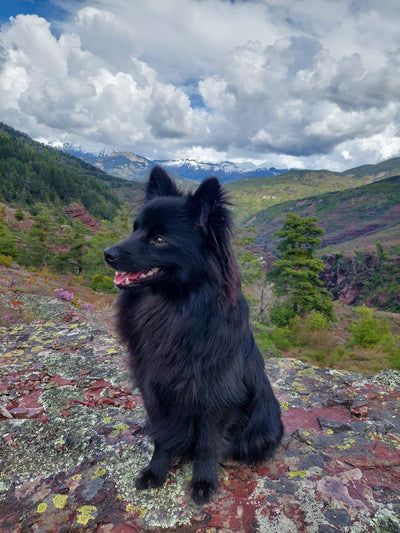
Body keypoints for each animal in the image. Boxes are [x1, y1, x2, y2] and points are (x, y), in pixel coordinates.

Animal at [104, 168, 282, 504]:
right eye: (135, 229)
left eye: (159, 239)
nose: (107, 253)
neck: (174, 306)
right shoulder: (155, 389)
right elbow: (162, 436)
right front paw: (156, 471)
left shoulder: (214, 395)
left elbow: (207, 444)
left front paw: (203, 482)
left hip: (261, 431)